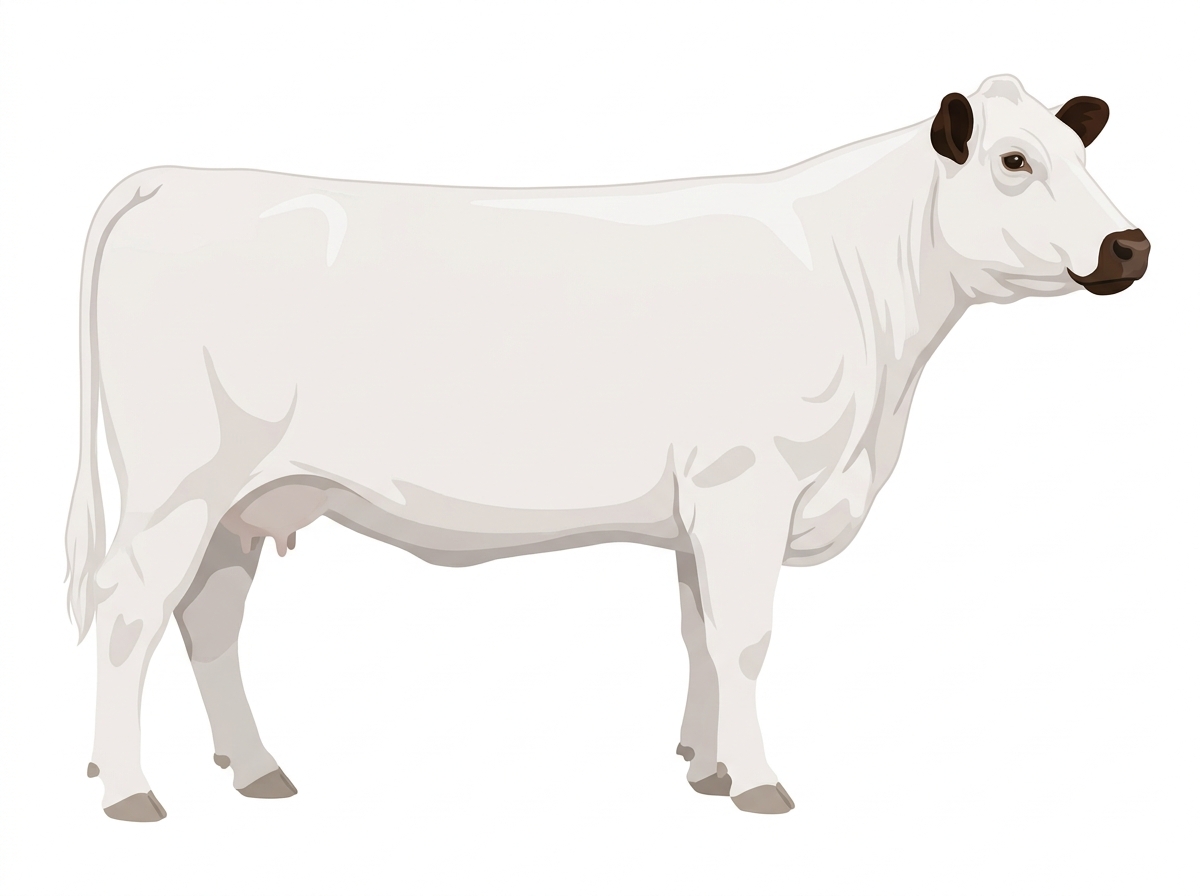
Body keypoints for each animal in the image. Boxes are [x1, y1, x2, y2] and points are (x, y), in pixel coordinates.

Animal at [65, 74, 1149, 821]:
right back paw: (128, 791)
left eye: (1081, 148)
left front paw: (707, 767)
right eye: (1014, 161)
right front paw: (760, 782)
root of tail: (174, 177)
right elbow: (746, 638)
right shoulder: (747, 486)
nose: (1130, 244)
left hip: (241, 500)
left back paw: (254, 769)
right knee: (130, 611)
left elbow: (701, 635)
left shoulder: (702, 508)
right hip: (177, 485)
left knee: (209, 618)